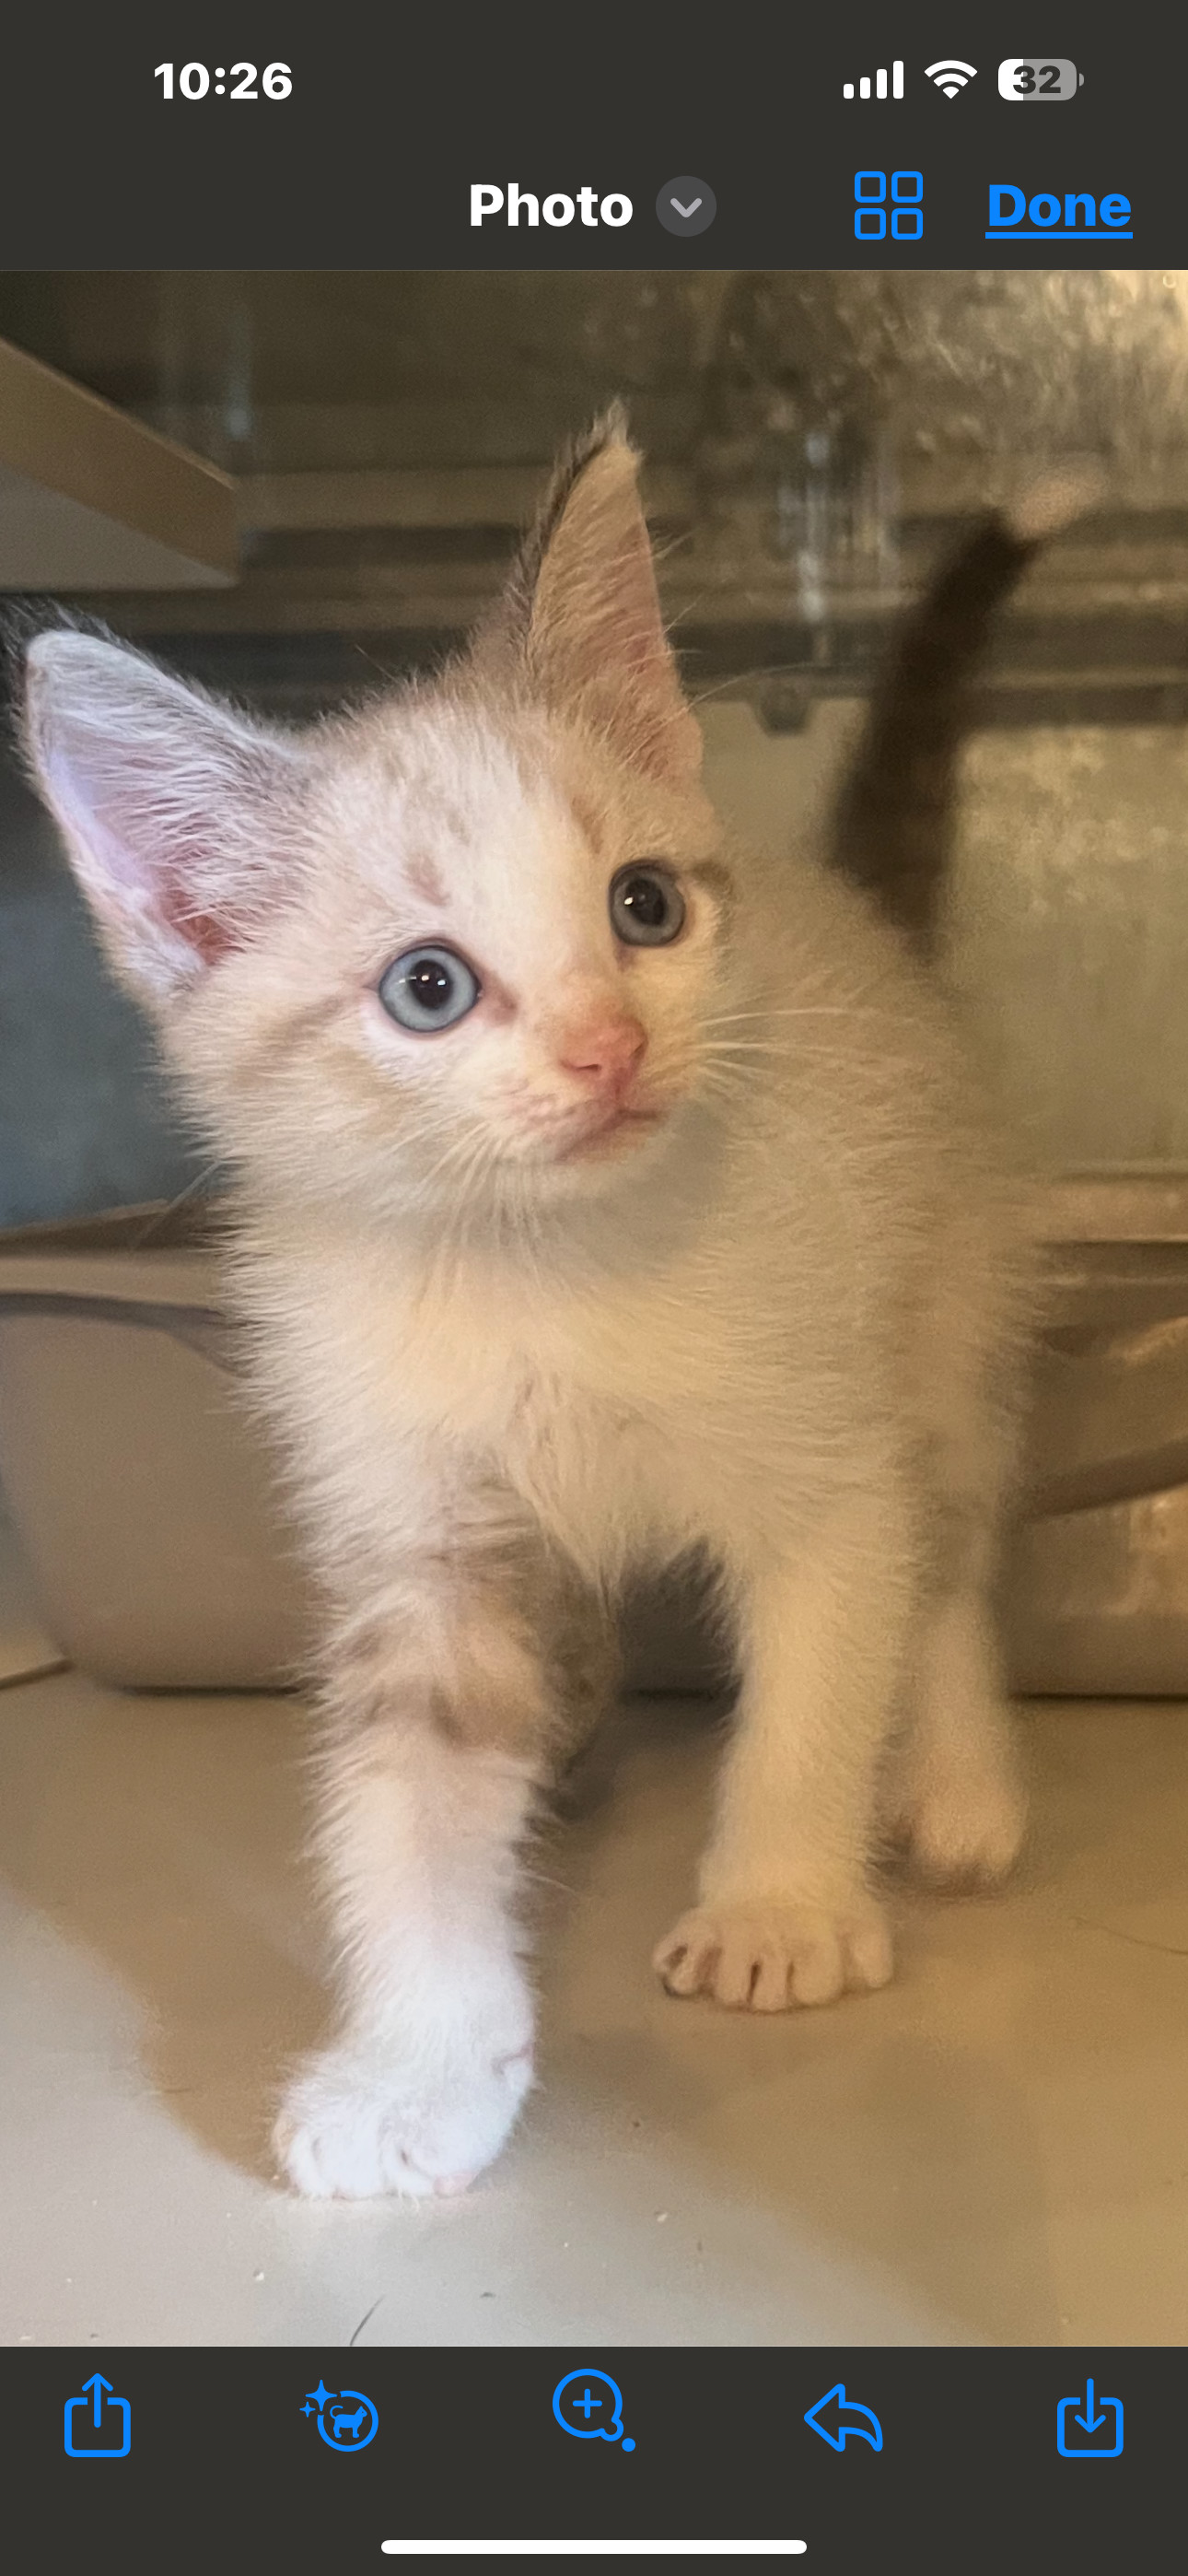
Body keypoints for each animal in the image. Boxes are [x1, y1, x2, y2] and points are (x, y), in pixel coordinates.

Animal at [23, 416, 1051, 2195]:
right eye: (426, 988)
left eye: (645, 906)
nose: (609, 1047)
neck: (539, 1268)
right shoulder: (416, 1529)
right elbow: (406, 1801)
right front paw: (417, 2066)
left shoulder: (828, 1470)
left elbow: (824, 1669)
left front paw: (781, 1904)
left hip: (946, 1298)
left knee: (953, 1548)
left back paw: (961, 1776)